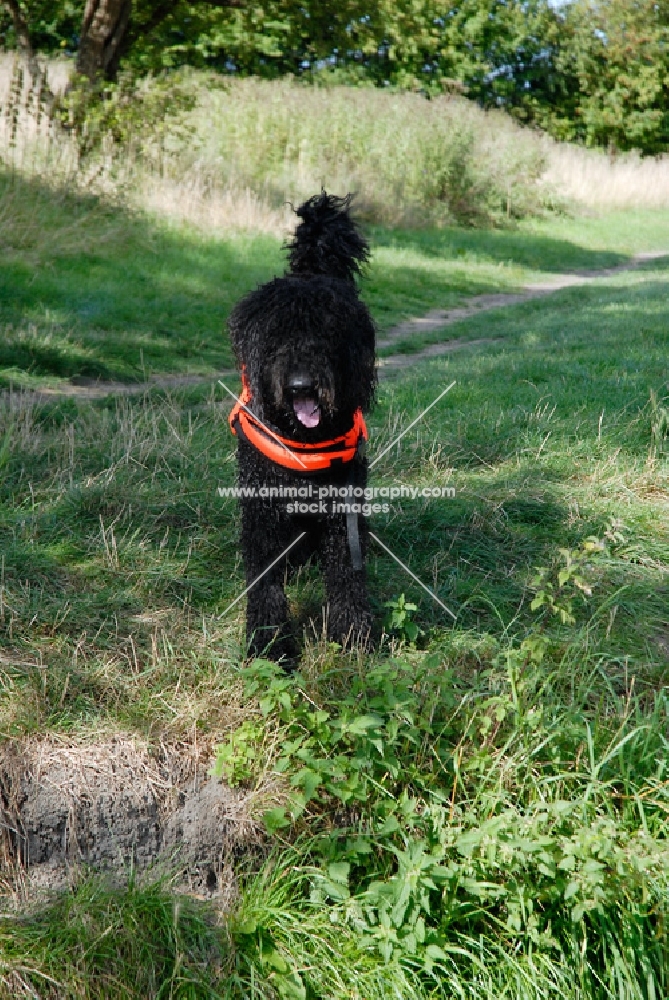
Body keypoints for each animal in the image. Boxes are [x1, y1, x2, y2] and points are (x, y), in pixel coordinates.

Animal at [228, 195, 376, 664]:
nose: (300, 386)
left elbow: (347, 575)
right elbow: (265, 584)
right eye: (276, 336)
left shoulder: (341, 511)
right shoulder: (261, 512)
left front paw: (353, 635)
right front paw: (269, 645)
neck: (303, 441)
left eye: (327, 334)